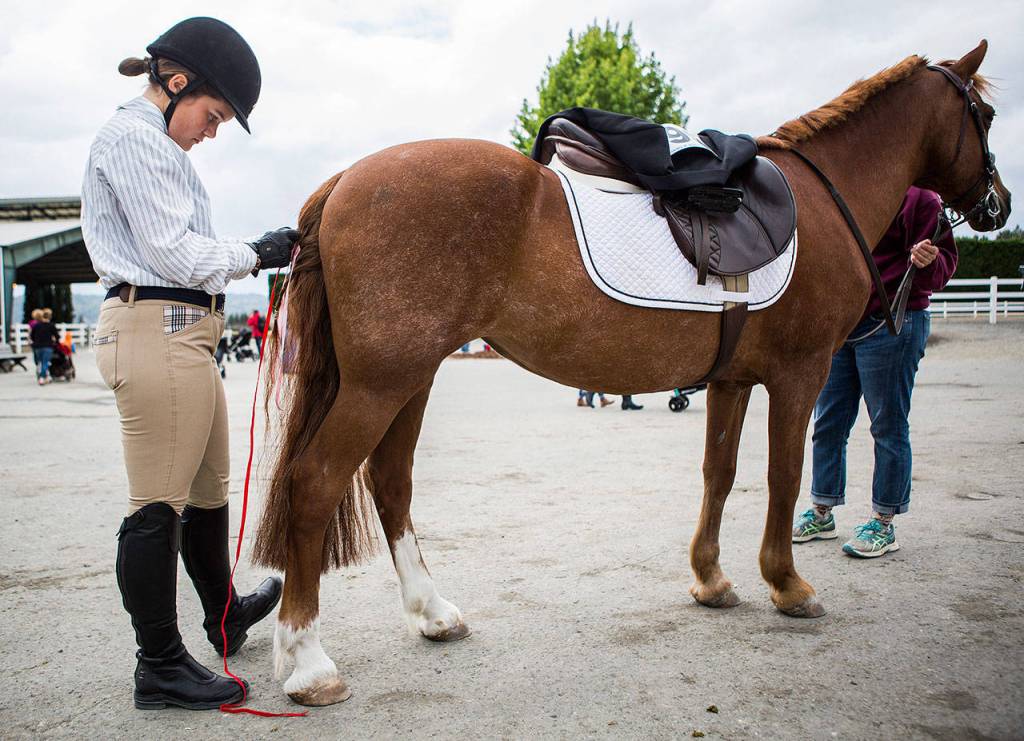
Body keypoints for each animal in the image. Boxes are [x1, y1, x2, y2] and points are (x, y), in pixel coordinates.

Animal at [252, 41, 1011, 706]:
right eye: (987, 114)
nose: (998, 203)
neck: (822, 198)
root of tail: (344, 181)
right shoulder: (801, 375)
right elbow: (783, 474)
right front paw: (788, 584)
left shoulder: (732, 380)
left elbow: (719, 473)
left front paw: (711, 578)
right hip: (380, 384)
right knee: (315, 482)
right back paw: (308, 662)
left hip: (411, 379)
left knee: (391, 484)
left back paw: (433, 612)